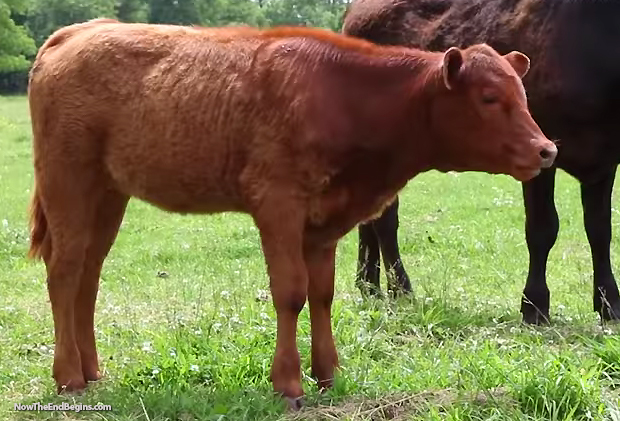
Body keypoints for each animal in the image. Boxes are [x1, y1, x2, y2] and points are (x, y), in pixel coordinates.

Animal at [342, 0, 620, 324]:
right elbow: (543, 227)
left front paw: (609, 304)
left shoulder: (603, 160)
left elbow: (600, 230)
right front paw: (535, 306)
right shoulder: (540, 152)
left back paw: (369, 286)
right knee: (385, 220)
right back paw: (401, 289)